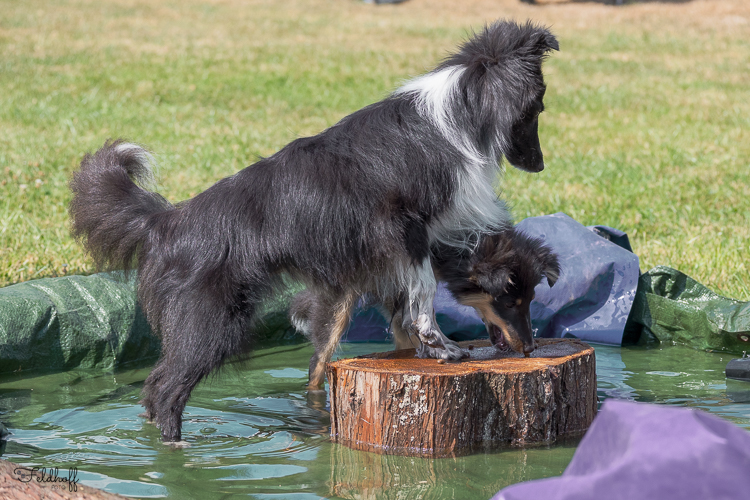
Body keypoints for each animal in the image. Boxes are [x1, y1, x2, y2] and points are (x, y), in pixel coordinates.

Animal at [290, 227, 560, 387]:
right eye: (508, 304)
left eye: (531, 300)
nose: (530, 348)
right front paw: (445, 349)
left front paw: (439, 347)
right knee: (317, 363)